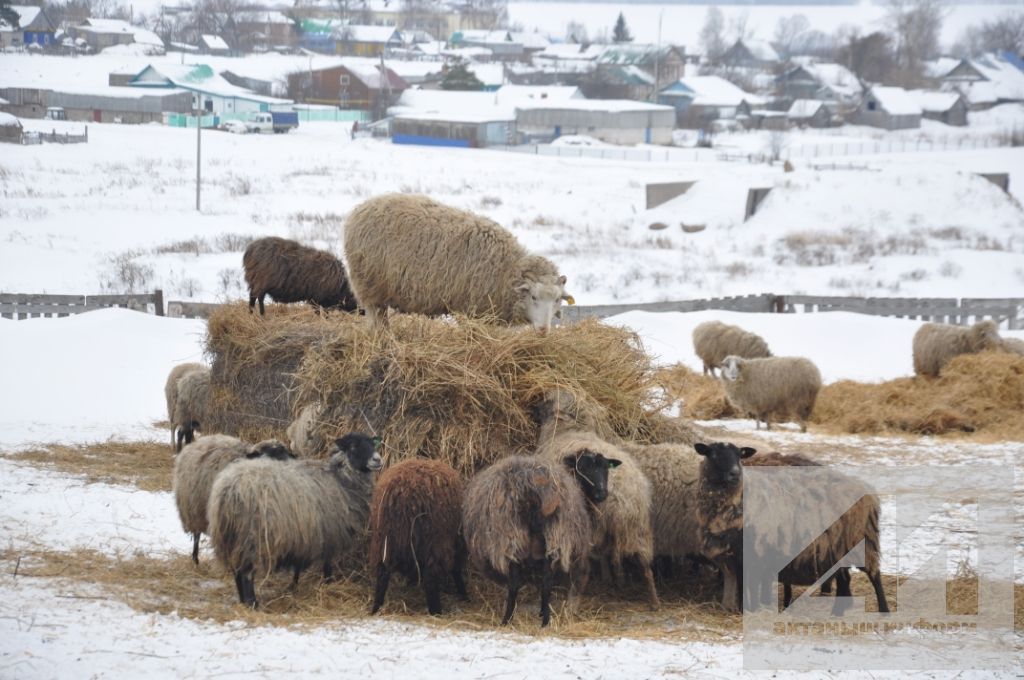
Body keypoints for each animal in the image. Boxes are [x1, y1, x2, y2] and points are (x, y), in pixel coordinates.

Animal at [207, 432, 385, 606]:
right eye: (353, 445)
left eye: (372, 443)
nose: (377, 459)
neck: (340, 479)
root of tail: (229, 490)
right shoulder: (329, 533)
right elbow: (327, 564)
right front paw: (327, 583)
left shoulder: (303, 534)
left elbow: (298, 565)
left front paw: (294, 586)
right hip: (251, 537)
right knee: (246, 573)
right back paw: (252, 603)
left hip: (232, 538)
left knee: (237, 570)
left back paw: (243, 600)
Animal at [342, 192, 569, 329]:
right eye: (533, 297)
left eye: (557, 299)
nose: (544, 330)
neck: (505, 270)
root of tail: (359, 210)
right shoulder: (472, 309)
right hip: (370, 288)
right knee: (376, 322)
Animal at [370, 456, 466, 614]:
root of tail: (402, 491)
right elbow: (457, 570)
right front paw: (465, 595)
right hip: (434, 541)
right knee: (430, 577)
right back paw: (436, 612)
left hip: (384, 540)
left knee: (382, 573)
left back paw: (375, 608)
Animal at [532, 391, 659, 606]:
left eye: (547, 401)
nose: (534, 407)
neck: (569, 430)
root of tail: (621, 502)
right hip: (639, 531)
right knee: (646, 568)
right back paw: (654, 602)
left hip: (585, 530)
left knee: (583, 571)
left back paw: (571, 605)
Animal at [696, 444, 888, 614]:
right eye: (712, 454)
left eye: (739, 455)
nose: (734, 474)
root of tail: (867, 492)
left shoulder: (755, 550)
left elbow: (752, 583)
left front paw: (751, 608)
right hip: (838, 546)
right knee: (844, 578)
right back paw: (839, 610)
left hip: (862, 541)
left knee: (874, 575)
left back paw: (883, 609)